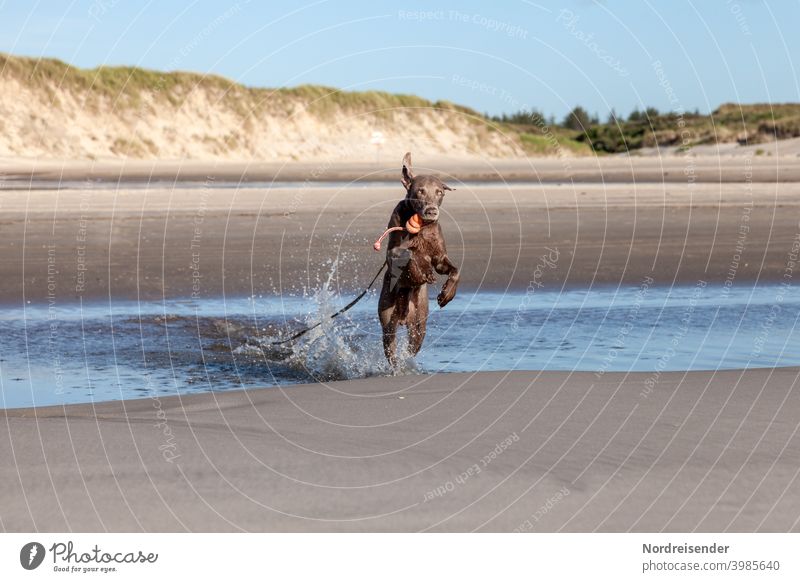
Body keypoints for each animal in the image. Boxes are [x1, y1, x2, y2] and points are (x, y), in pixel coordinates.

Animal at [378, 153, 460, 368]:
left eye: (439, 192)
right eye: (420, 191)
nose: (432, 211)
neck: (421, 227)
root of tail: (403, 317)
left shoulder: (439, 257)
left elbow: (454, 270)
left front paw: (447, 294)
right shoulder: (393, 252)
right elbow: (410, 256)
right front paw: (422, 269)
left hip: (419, 322)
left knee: (412, 346)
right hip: (387, 319)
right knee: (390, 345)